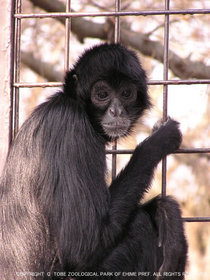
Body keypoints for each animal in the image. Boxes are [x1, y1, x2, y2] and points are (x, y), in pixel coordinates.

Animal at [0, 42, 187, 278]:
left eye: (126, 93)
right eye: (102, 94)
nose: (116, 111)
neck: (73, 103)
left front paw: (165, 214)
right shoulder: (70, 127)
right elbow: (81, 246)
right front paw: (159, 141)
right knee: (140, 225)